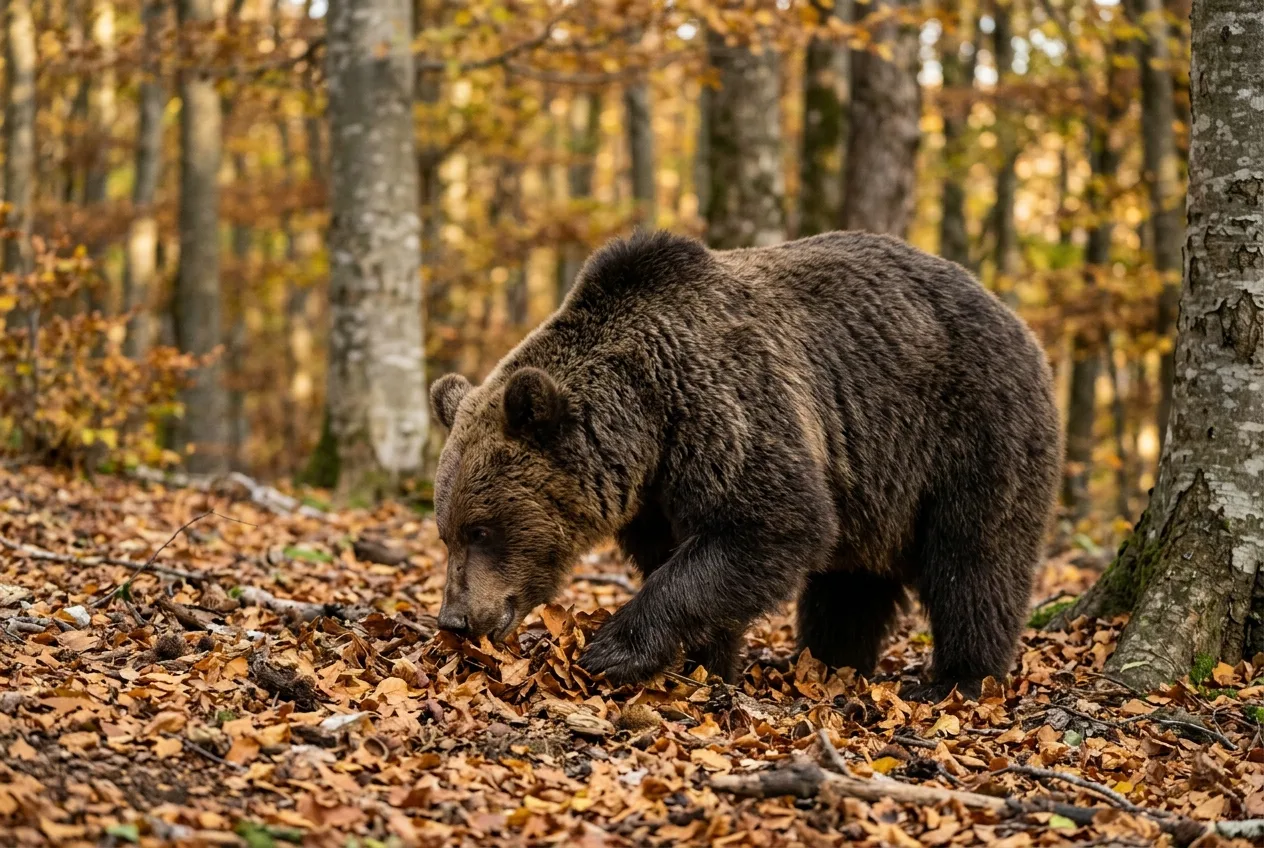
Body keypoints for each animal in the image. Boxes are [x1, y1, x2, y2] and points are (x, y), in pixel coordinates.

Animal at [429, 229, 1061, 700]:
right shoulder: (654, 491)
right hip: (875, 482)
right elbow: (692, 557)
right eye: (447, 532)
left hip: (971, 433)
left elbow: (771, 523)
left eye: (481, 529)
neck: (648, 418)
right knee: (851, 585)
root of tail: (1016, 319)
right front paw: (705, 662)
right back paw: (830, 661)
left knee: (975, 560)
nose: (455, 619)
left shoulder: (728, 408)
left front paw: (612, 650)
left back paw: (958, 679)